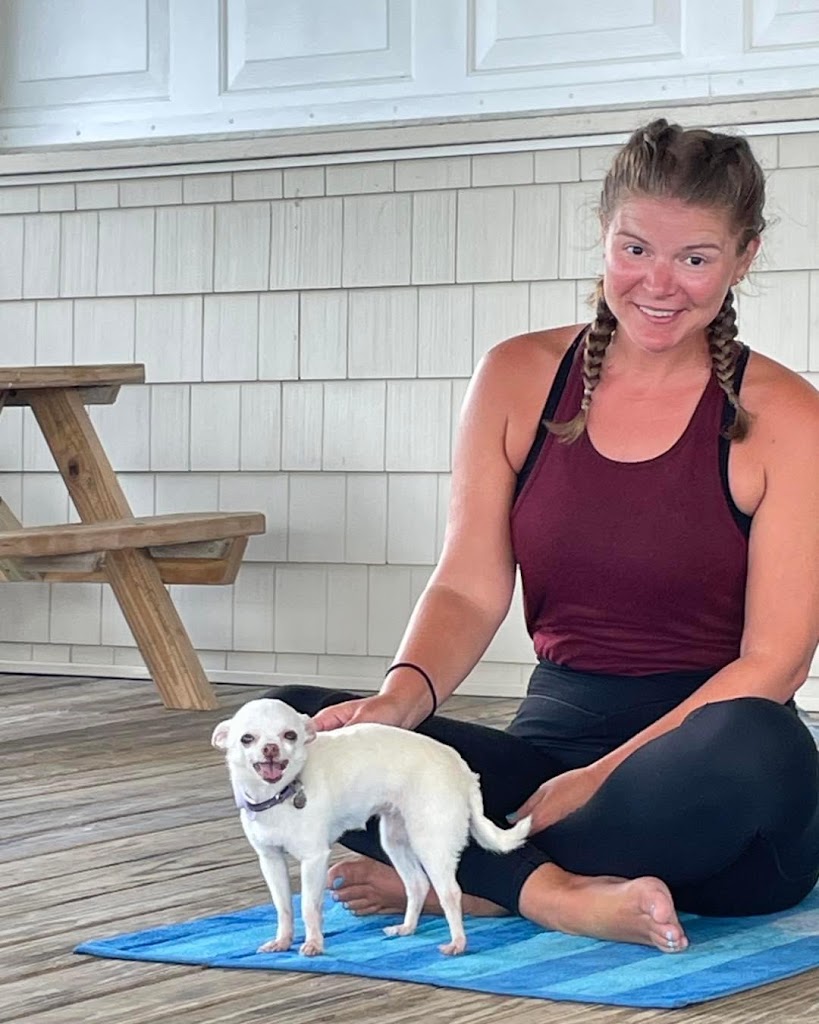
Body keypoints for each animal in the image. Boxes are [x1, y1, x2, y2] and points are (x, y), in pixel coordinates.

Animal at [212, 698, 531, 957]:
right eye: (247, 739)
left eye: (290, 735)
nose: (270, 748)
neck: (279, 795)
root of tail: (461, 767)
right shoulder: (271, 859)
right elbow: (283, 906)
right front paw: (282, 941)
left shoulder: (314, 859)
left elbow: (309, 907)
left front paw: (314, 944)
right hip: (395, 840)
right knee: (417, 884)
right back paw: (406, 928)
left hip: (431, 842)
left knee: (450, 893)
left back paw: (458, 943)